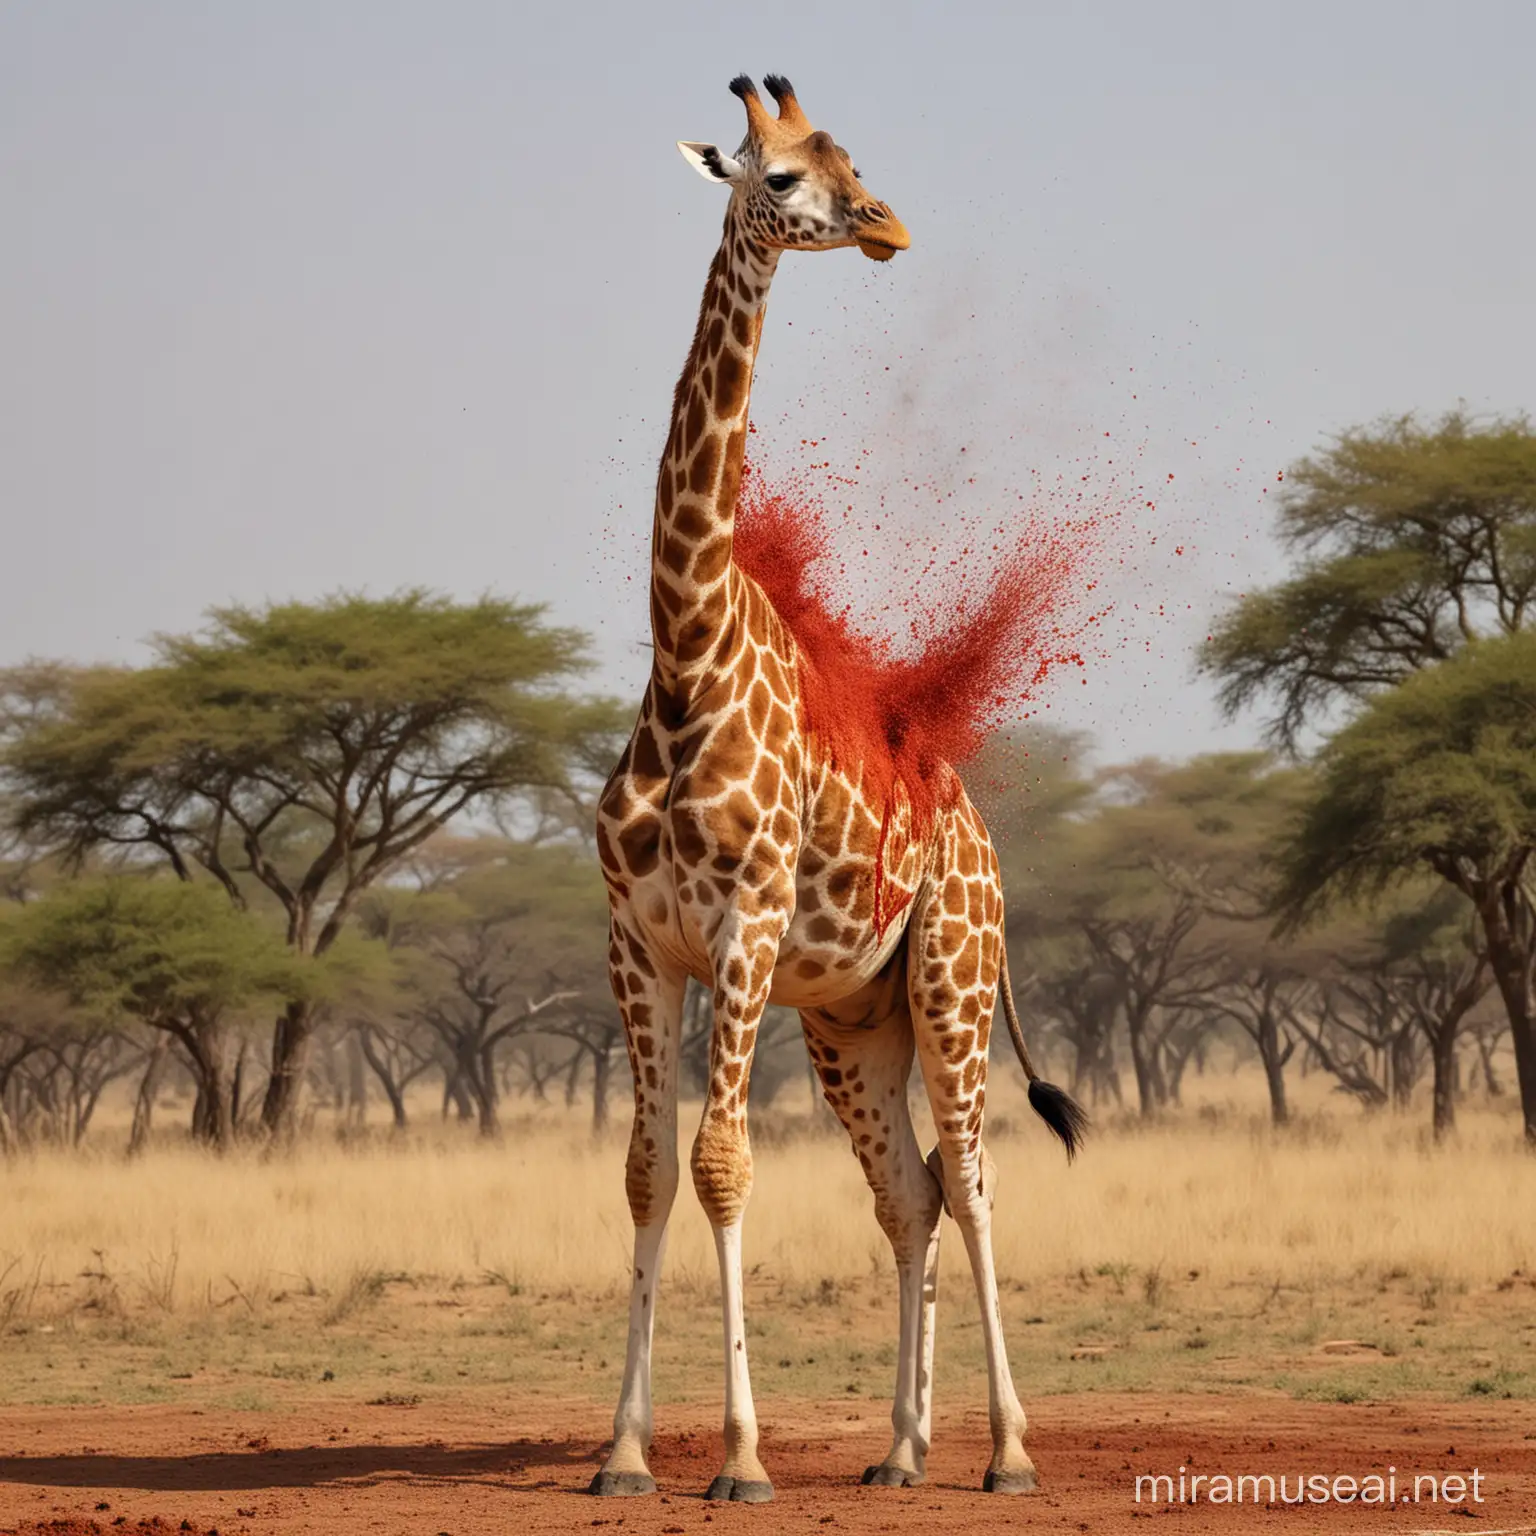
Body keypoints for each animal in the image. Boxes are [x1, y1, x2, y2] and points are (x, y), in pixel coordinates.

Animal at [589, 72, 1093, 1499]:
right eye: (778, 178)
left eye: (850, 160)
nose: (889, 227)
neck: (687, 654)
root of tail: (977, 831)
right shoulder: (639, 942)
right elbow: (648, 1173)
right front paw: (625, 1454)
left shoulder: (744, 930)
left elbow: (721, 1166)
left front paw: (741, 1461)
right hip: (853, 1021)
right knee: (908, 1191)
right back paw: (902, 1452)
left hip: (951, 984)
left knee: (972, 1179)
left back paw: (1008, 1454)